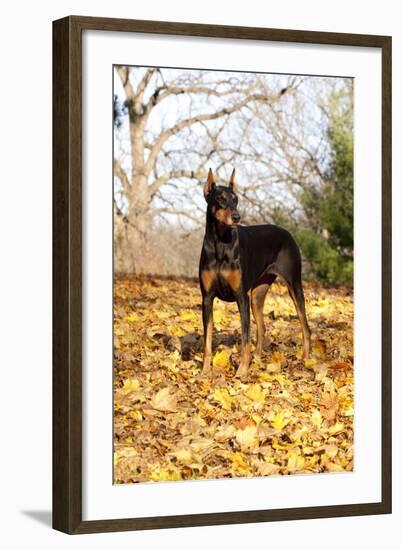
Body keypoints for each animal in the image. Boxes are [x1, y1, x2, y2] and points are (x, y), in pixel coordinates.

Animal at [199, 168, 310, 382]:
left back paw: (306, 359)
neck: (220, 243)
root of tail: (287, 233)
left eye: (235, 199)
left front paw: (242, 371)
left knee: (305, 326)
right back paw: (257, 359)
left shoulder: (241, 296)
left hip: (293, 285)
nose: (236, 217)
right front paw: (205, 371)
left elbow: (244, 338)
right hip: (257, 294)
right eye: (221, 199)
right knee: (262, 327)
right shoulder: (207, 298)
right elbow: (207, 339)